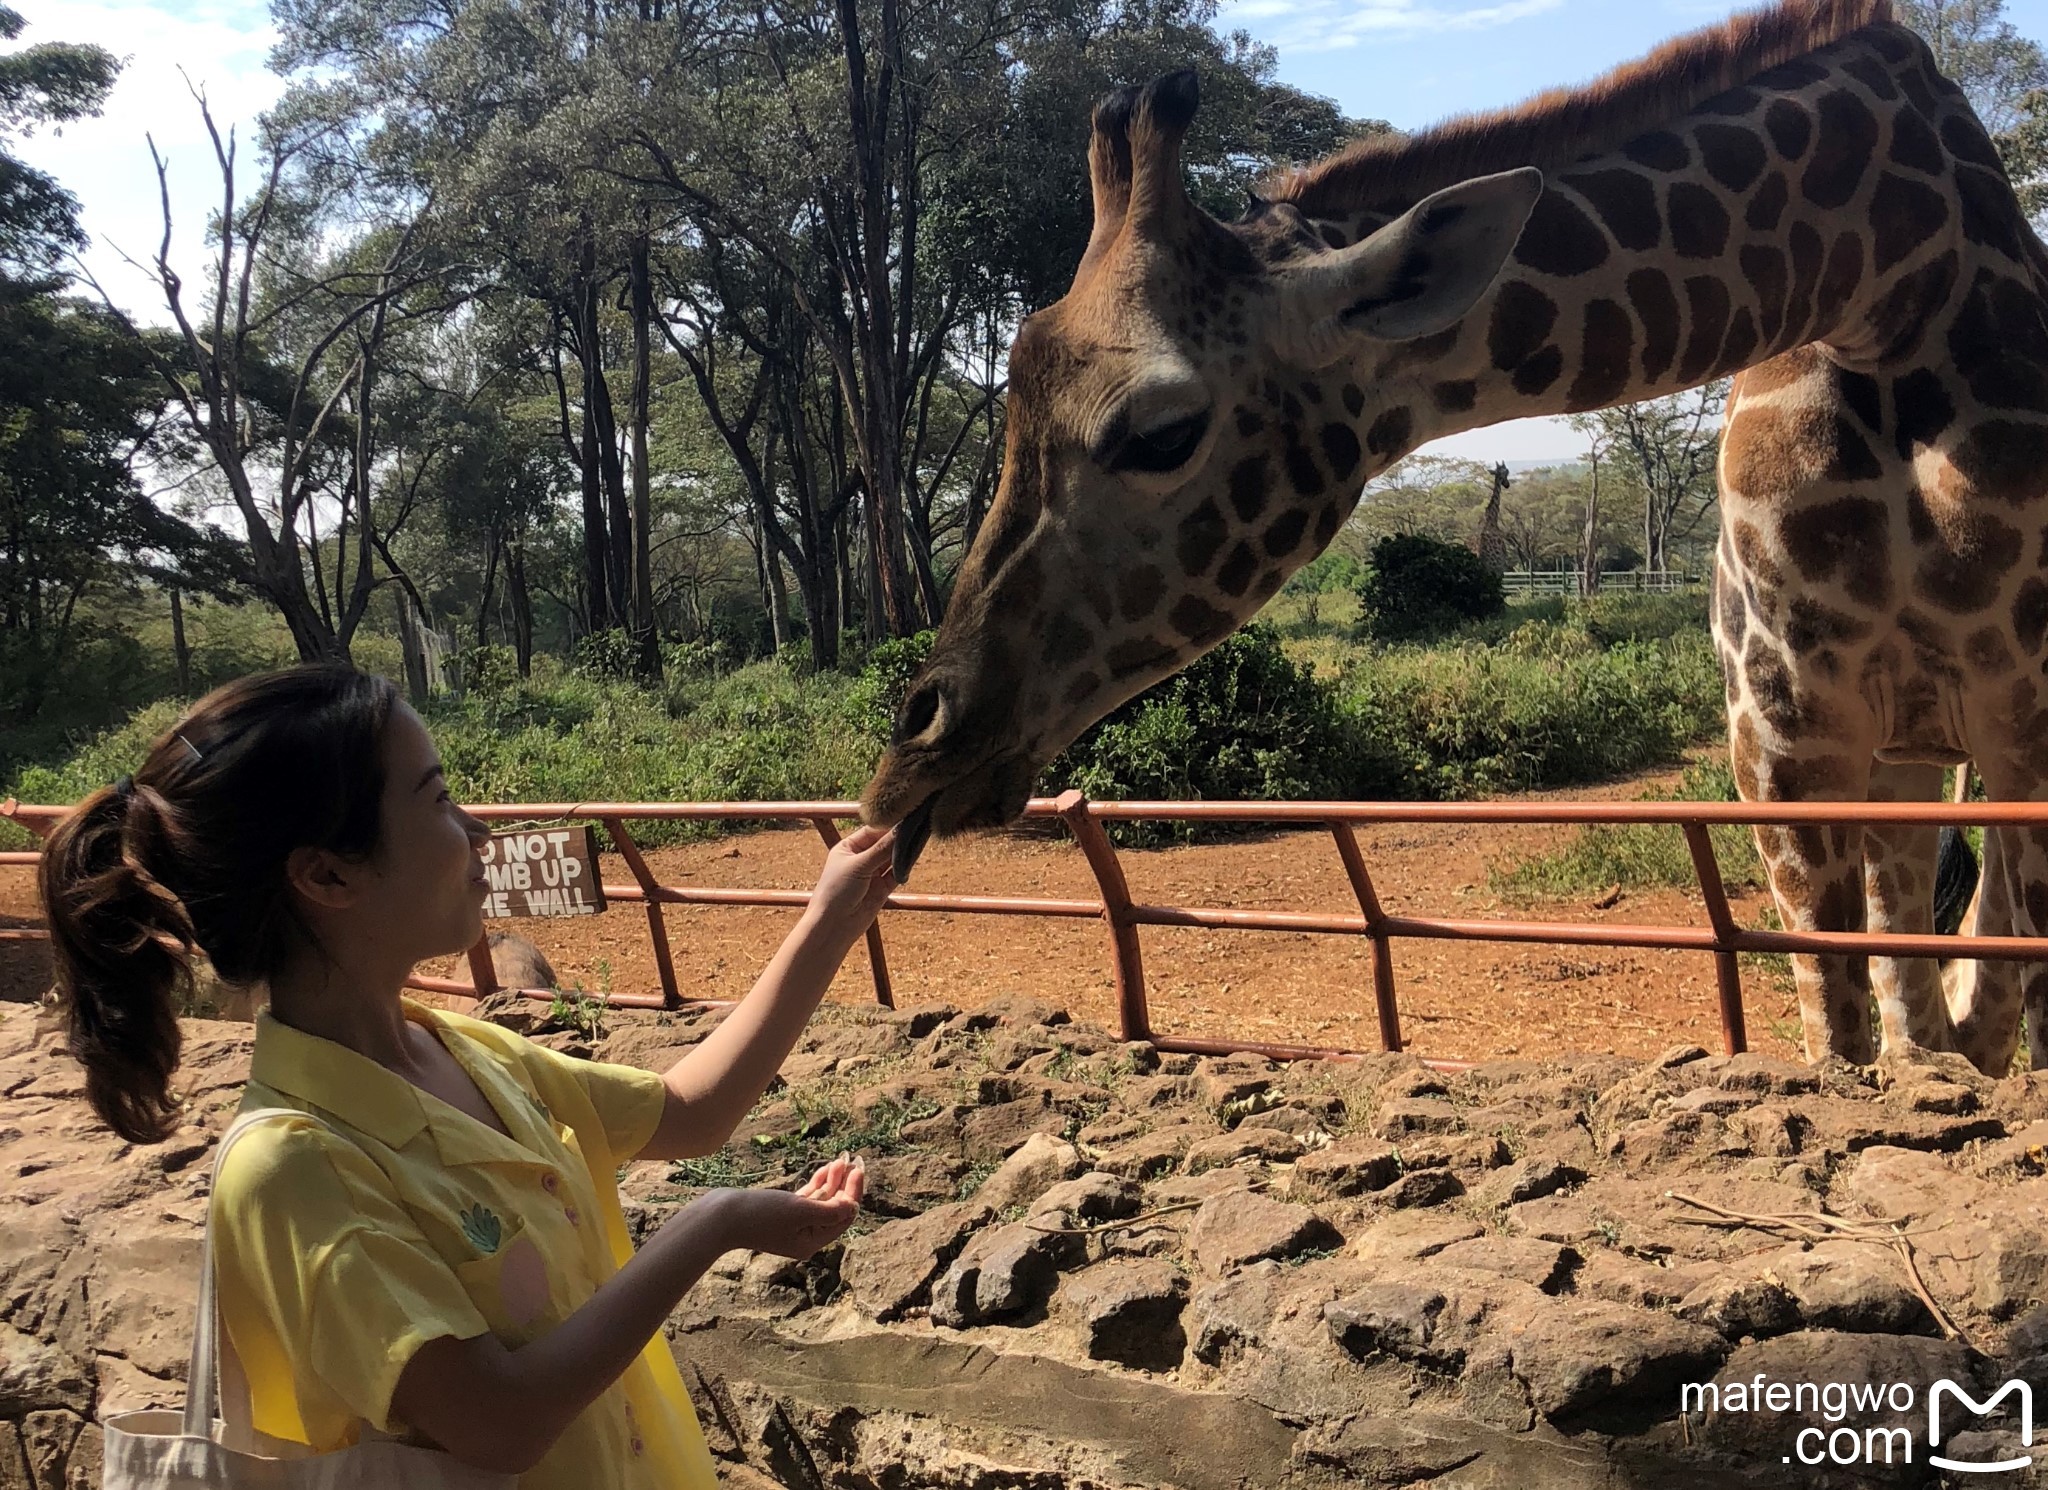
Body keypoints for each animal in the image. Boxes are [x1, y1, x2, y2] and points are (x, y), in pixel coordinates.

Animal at [860, 0, 2048, 1072]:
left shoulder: (2015, 724)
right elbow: (1854, 1033)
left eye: (1159, 433)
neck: (1885, 286)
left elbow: (1987, 996)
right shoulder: (1784, 738)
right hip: (1895, 756)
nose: (911, 761)